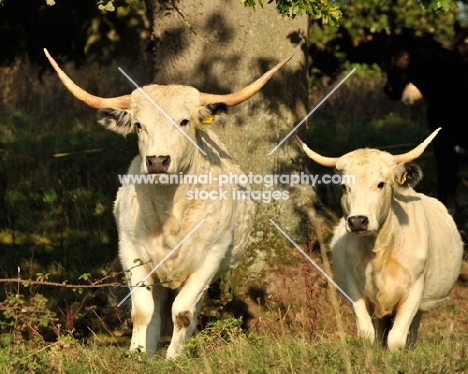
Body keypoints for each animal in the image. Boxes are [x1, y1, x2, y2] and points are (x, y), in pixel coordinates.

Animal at [44, 48, 292, 358]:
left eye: (183, 121)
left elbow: (183, 312)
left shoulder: (210, 257)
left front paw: (174, 357)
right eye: (139, 125)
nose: (158, 161)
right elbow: (141, 311)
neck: (169, 213)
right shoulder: (131, 253)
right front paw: (138, 354)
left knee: (189, 310)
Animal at [298, 129, 462, 350]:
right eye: (344, 187)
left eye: (381, 184)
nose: (358, 221)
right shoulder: (354, 287)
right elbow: (366, 334)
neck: (380, 249)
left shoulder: (414, 290)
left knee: (410, 331)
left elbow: (397, 340)